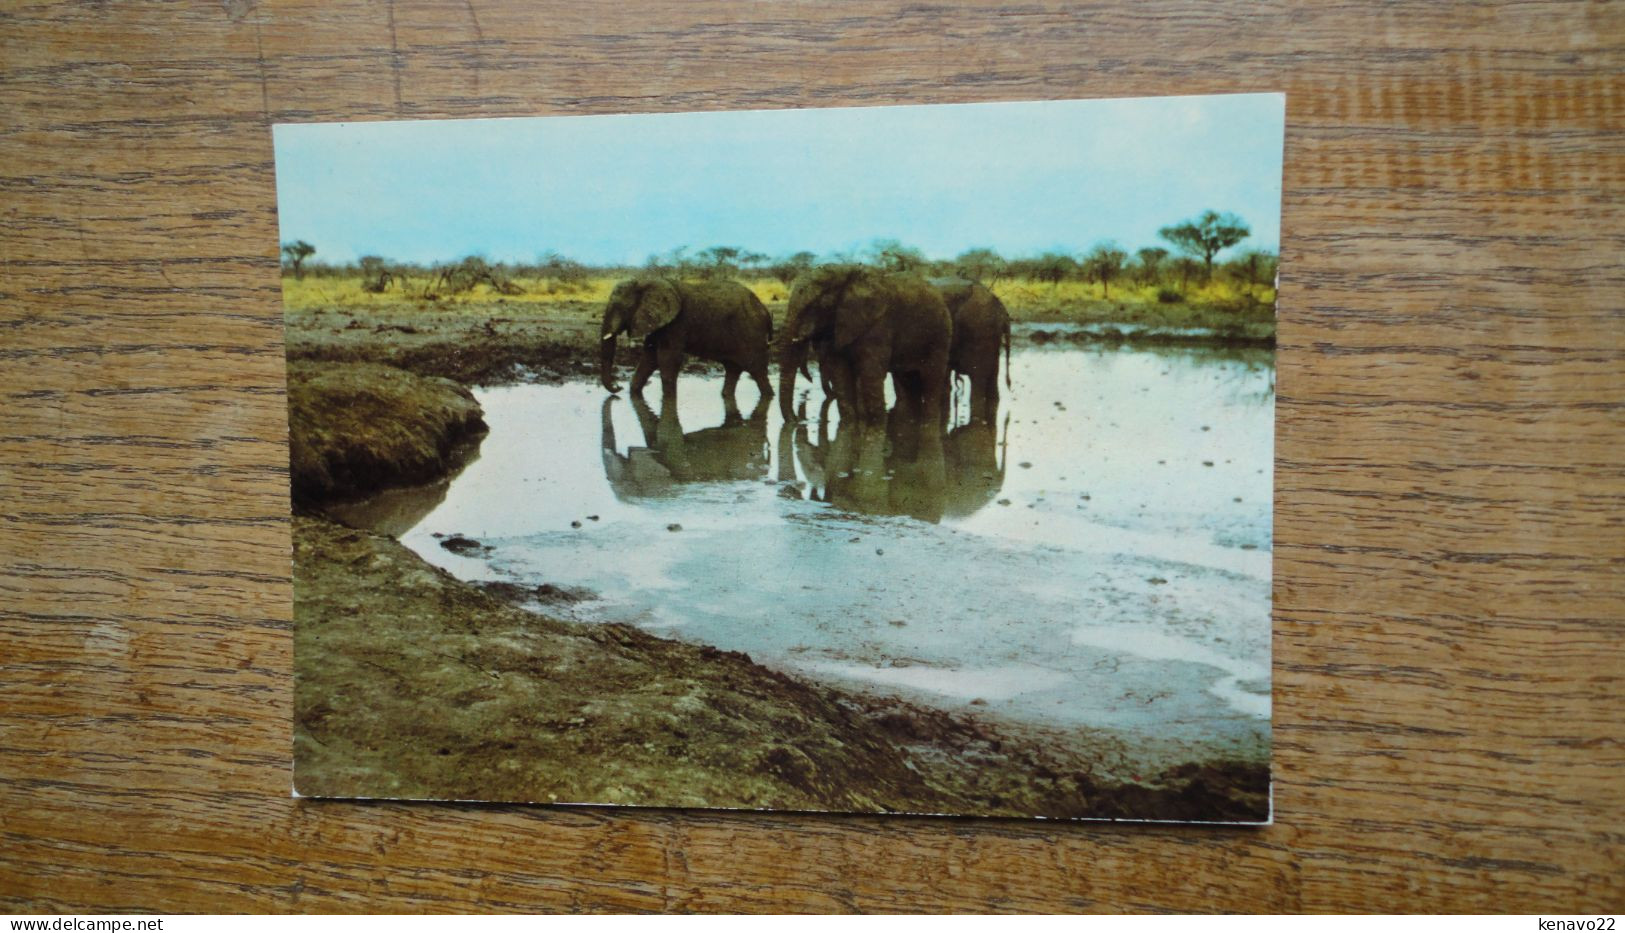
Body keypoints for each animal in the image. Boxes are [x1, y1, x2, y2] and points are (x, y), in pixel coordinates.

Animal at [601, 281, 776, 406]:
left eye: (619, 308)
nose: (618, 386)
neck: (645, 282)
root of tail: (765, 311)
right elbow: (649, 358)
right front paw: (633, 394)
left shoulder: (676, 324)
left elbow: (667, 359)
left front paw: (669, 402)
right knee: (733, 369)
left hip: (752, 335)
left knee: (757, 371)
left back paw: (769, 396)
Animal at [773, 264, 949, 448]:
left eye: (819, 303)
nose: (798, 421)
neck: (844, 272)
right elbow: (841, 376)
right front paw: (849, 428)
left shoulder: (878, 326)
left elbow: (870, 376)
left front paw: (875, 435)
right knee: (908, 383)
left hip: (940, 335)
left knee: (931, 381)